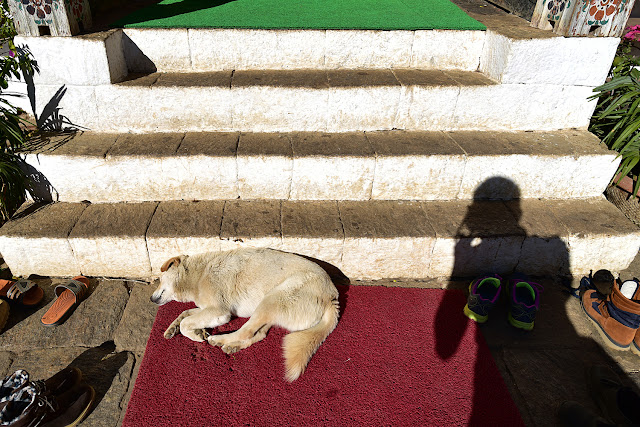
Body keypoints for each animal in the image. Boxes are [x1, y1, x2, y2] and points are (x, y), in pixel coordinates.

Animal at [151, 247, 340, 382]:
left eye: (159, 280)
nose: (151, 299)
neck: (199, 274)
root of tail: (332, 296)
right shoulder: (209, 309)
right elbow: (185, 313)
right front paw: (175, 329)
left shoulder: (220, 311)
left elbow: (186, 322)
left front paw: (196, 335)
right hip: (269, 310)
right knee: (259, 334)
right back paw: (232, 346)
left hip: (271, 300)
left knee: (246, 331)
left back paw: (219, 340)